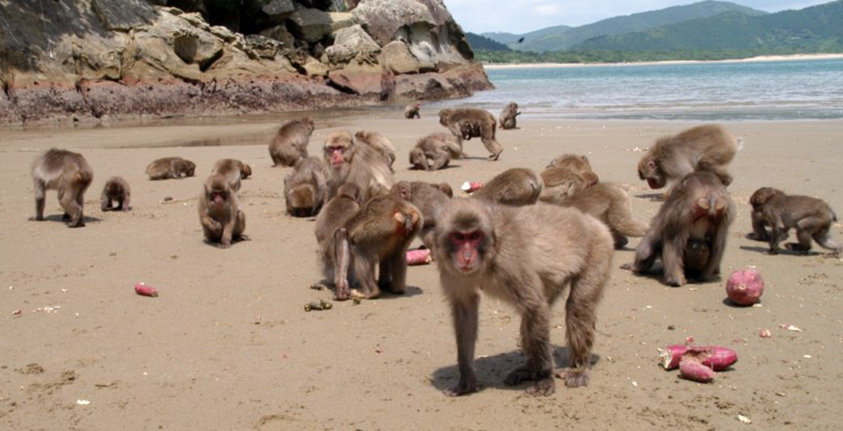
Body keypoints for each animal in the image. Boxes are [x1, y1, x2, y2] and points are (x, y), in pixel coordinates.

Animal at [433, 198, 613, 396]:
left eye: (475, 236)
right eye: (458, 237)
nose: (466, 257)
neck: (489, 253)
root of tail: (592, 221)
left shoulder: (510, 261)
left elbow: (535, 307)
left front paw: (544, 379)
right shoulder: (450, 268)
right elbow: (465, 312)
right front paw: (466, 381)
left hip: (599, 248)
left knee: (577, 307)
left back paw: (577, 369)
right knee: (532, 315)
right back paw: (529, 369)